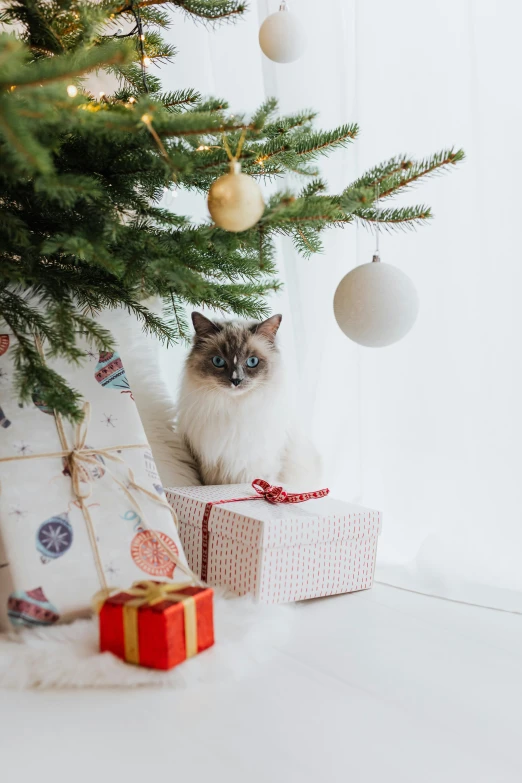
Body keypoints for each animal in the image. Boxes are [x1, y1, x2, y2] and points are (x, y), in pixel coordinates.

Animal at [176, 314, 320, 486]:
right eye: (218, 361)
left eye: (252, 362)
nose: (236, 380)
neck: (235, 408)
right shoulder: (210, 467)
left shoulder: (257, 467)